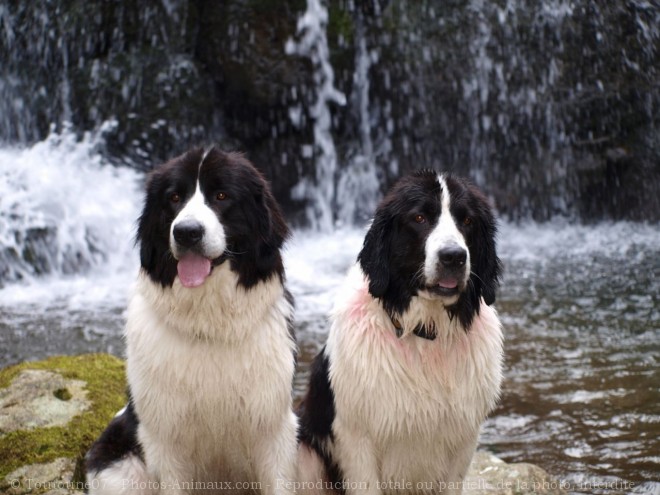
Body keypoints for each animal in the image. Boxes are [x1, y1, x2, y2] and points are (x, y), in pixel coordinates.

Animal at [86, 147, 298, 495]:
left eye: (222, 195)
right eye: (174, 198)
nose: (186, 232)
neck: (208, 324)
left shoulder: (272, 427)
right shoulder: (164, 437)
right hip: (117, 466)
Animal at [296, 171, 502, 495]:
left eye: (467, 220)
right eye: (419, 217)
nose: (453, 257)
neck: (425, 333)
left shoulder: (463, 439)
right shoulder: (356, 438)